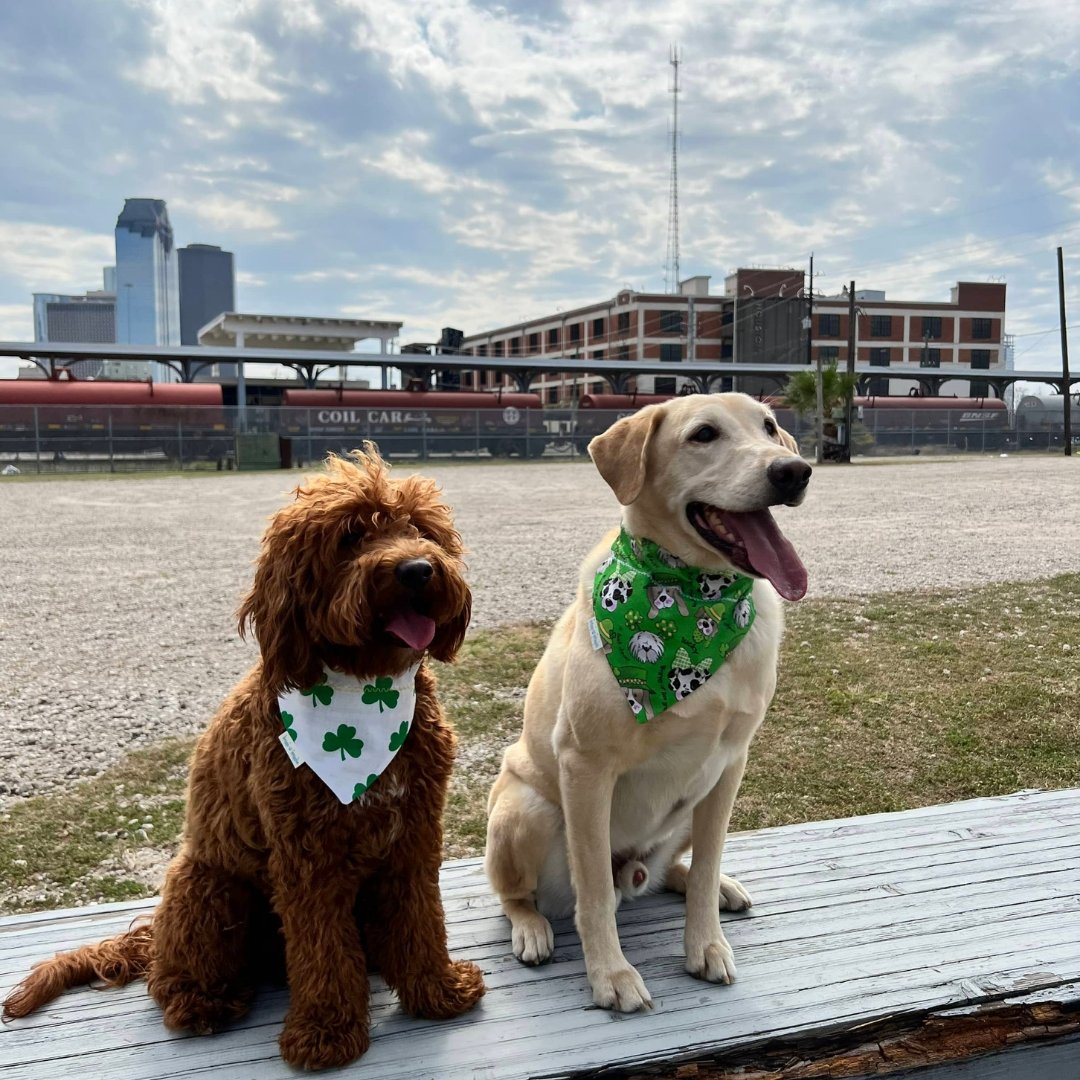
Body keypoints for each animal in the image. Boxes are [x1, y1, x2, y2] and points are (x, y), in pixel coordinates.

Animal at [3, 447, 486, 1071]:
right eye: (352, 536)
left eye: (421, 530)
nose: (418, 570)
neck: (365, 690)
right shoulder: (307, 858)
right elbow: (323, 952)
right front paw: (326, 1033)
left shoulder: (415, 834)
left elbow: (421, 920)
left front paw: (437, 992)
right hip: (209, 888)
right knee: (171, 983)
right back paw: (207, 1002)